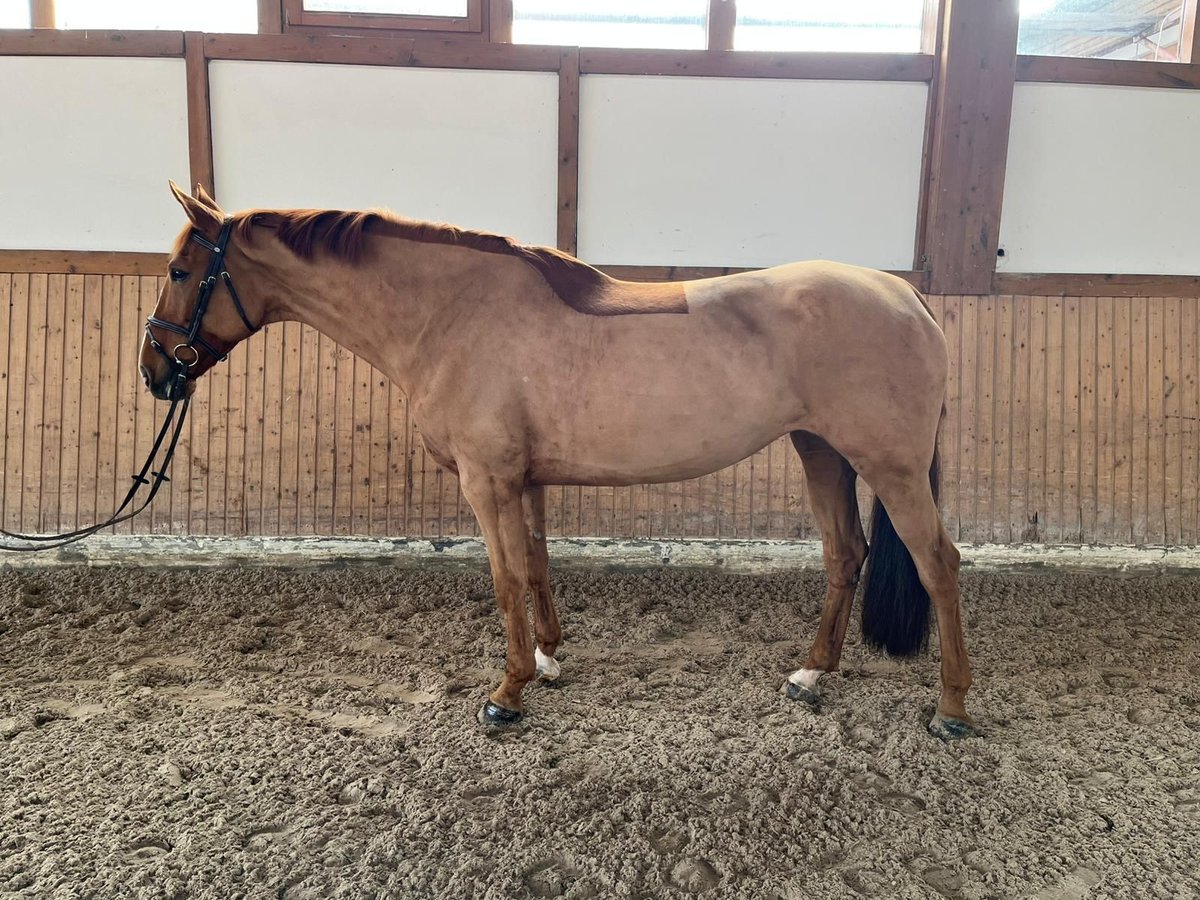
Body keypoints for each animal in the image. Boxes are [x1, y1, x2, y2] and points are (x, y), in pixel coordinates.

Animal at [142, 181, 974, 739]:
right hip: (822, 451)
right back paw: (810, 674)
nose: (156, 373)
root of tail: (905, 297)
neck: (452, 315)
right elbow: (538, 562)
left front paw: (506, 693)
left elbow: (505, 576)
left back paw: (953, 707)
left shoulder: (487, 482)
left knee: (938, 562)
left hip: (890, 466)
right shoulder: (525, 480)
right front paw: (547, 659)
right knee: (846, 553)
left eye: (182, 272)